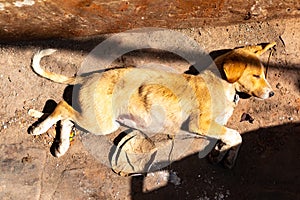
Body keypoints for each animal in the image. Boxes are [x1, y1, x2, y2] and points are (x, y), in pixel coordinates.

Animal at [29, 42, 276, 169]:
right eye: (256, 75)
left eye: (264, 74)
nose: (272, 93)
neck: (223, 85)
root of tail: (89, 77)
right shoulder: (201, 124)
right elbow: (237, 134)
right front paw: (226, 151)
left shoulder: (213, 126)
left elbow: (232, 138)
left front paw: (223, 153)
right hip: (101, 122)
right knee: (61, 106)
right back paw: (40, 128)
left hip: (97, 118)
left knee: (66, 118)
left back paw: (61, 146)